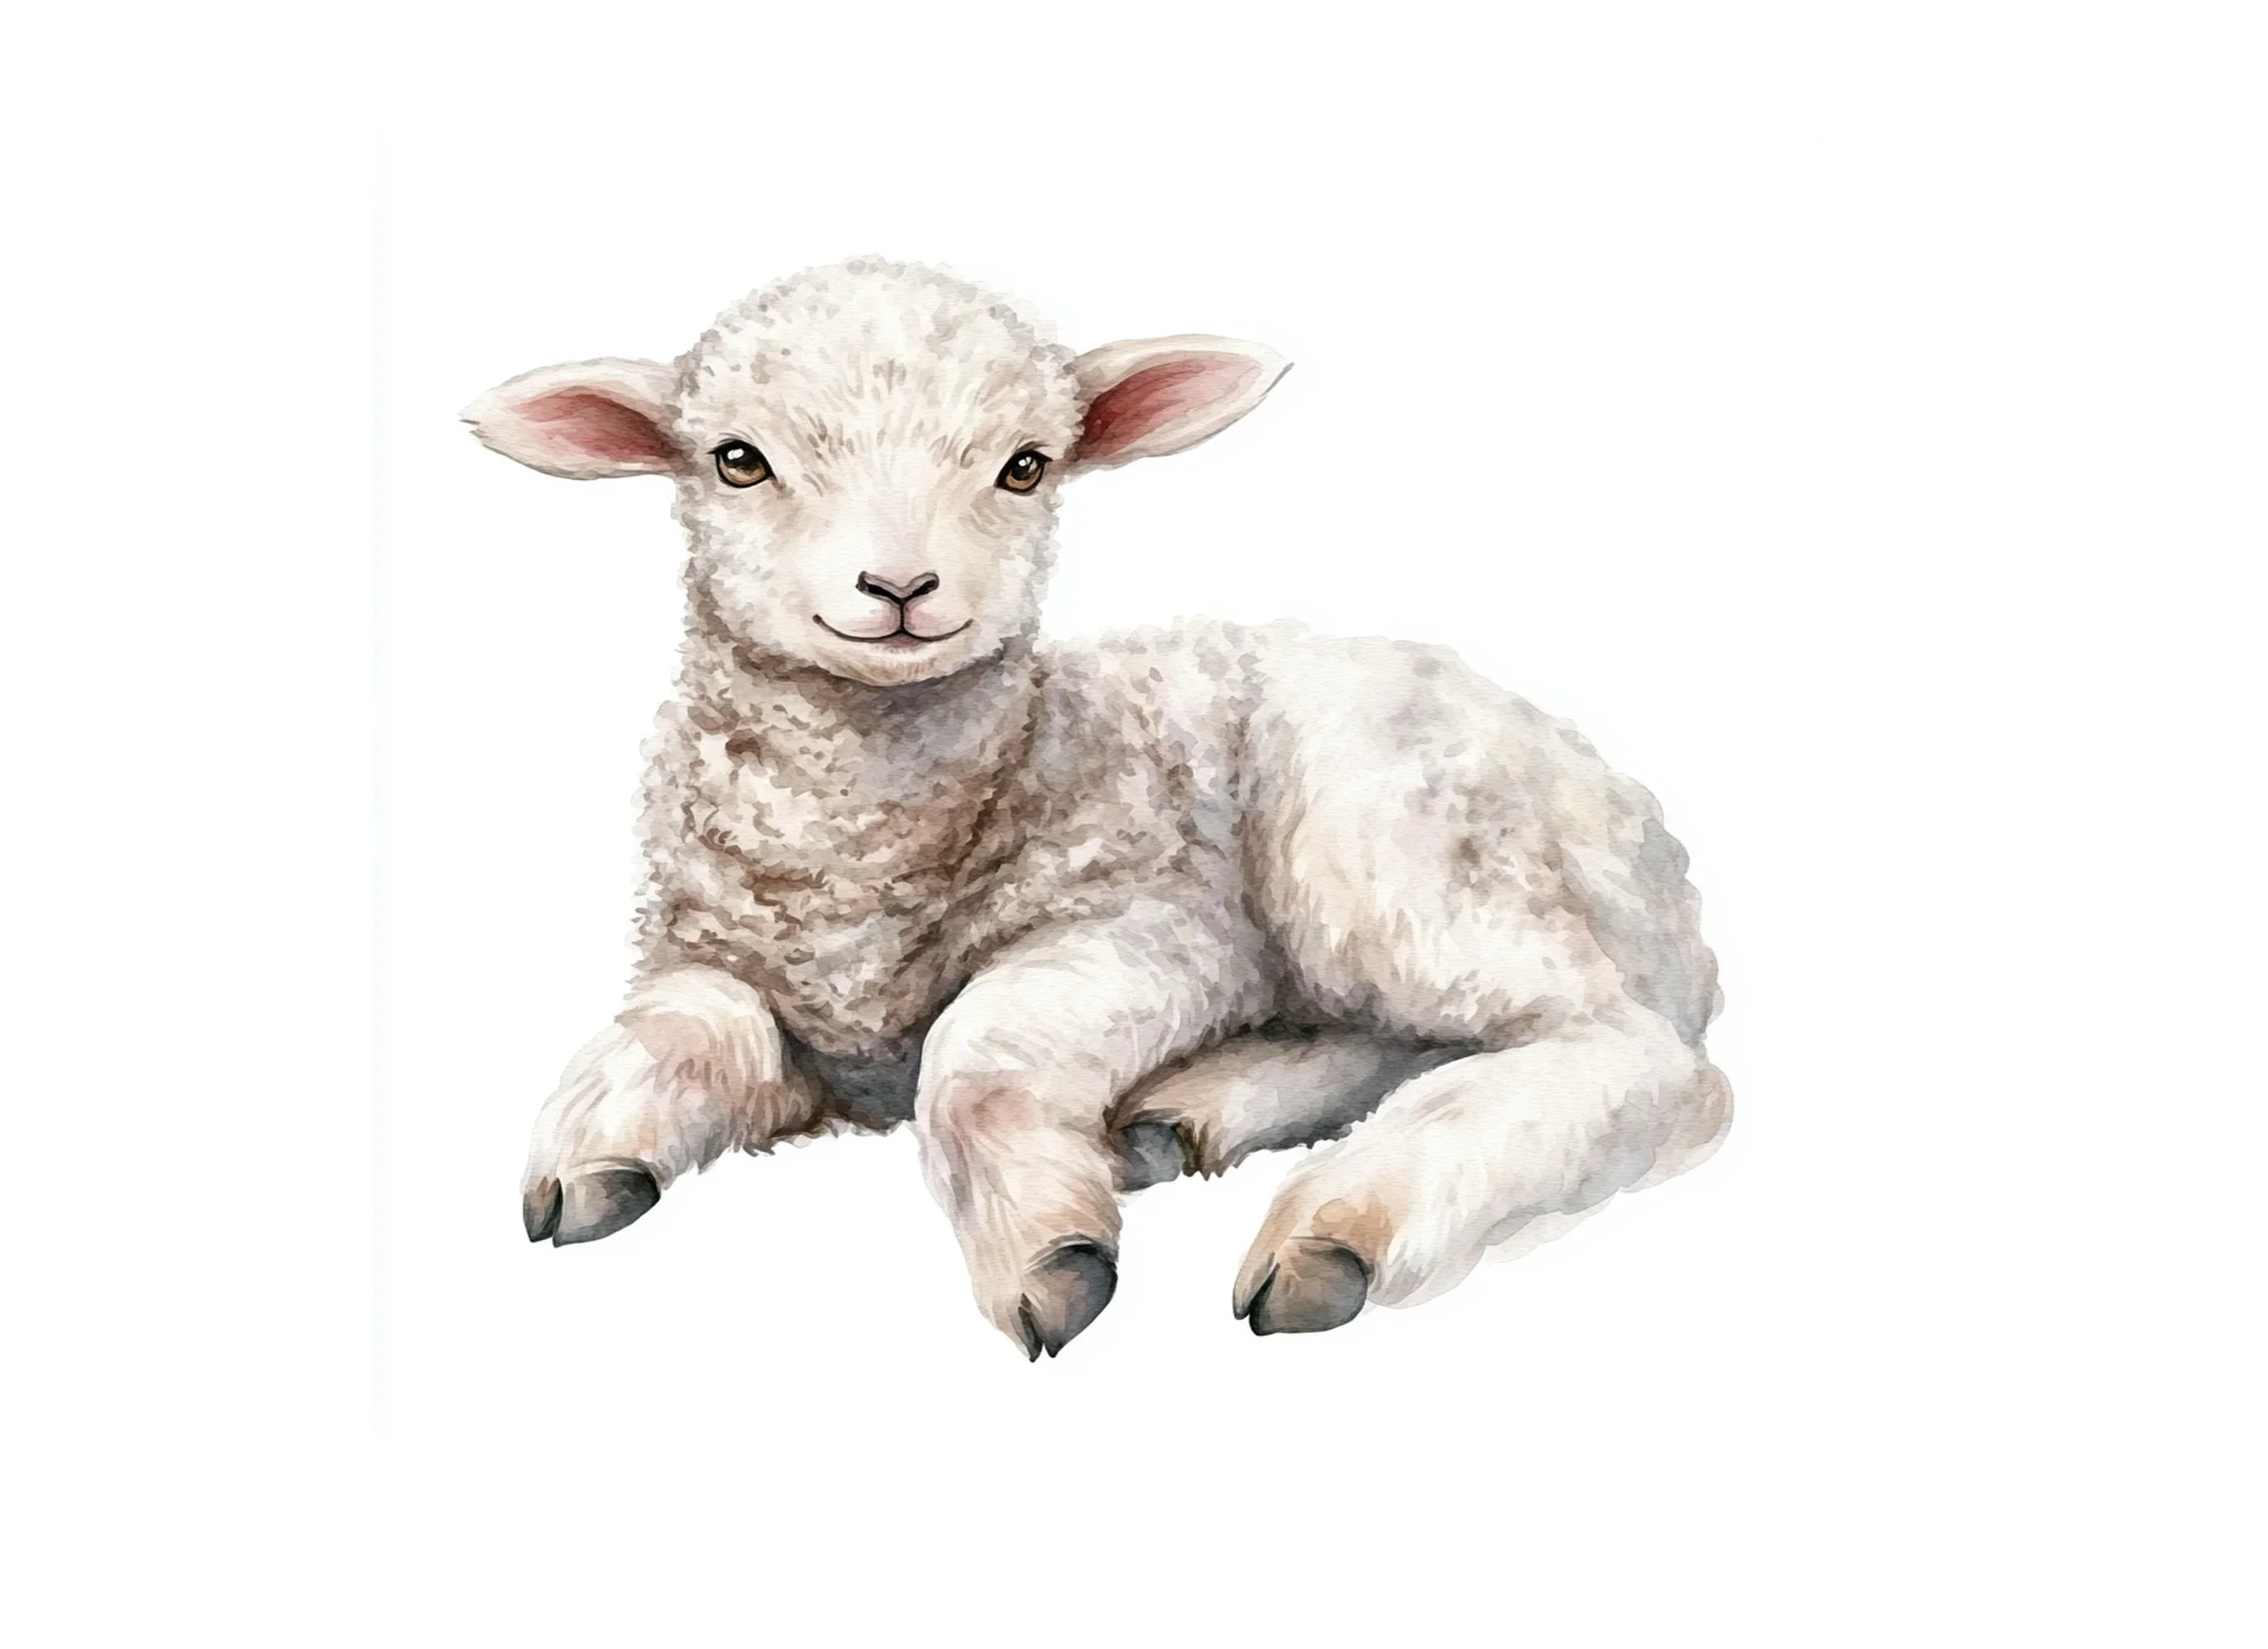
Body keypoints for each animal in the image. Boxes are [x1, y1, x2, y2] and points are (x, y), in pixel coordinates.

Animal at [463, 256, 1731, 1358]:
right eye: (737, 460)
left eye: (1024, 467)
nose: (900, 588)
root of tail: (1649, 845)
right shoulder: (717, 964)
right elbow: (675, 1029)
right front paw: (584, 1164)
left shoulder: (1154, 925)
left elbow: (975, 1055)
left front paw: (1048, 1257)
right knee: (1408, 1036)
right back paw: (1190, 1115)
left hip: (1384, 848)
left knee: (1631, 1058)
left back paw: (1337, 1232)